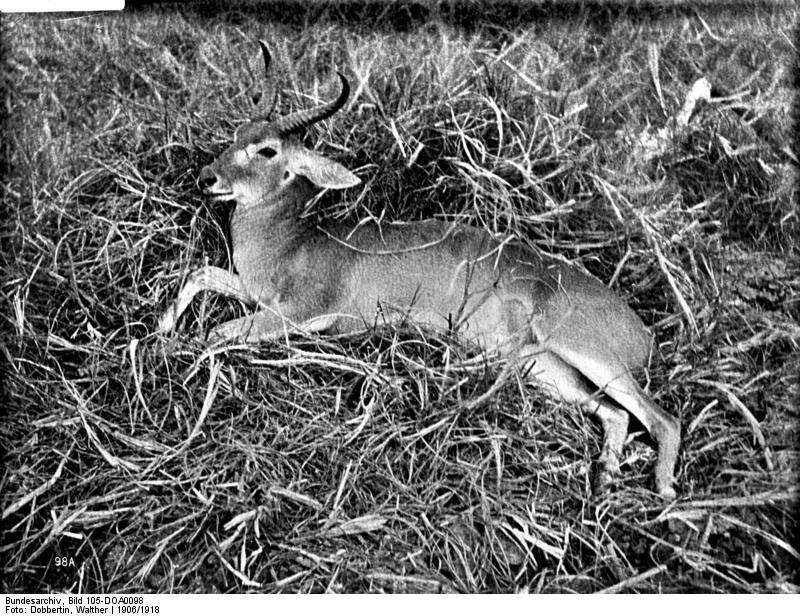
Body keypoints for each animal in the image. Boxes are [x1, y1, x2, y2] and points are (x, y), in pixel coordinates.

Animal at [158, 43, 680, 498]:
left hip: (586, 351)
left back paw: (664, 491)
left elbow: (215, 334)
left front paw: (171, 349)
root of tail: (643, 333)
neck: (292, 242)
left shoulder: (299, 313)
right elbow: (200, 274)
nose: (207, 177)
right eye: (235, 134)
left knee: (660, 417)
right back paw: (605, 476)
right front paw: (161, 328)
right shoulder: (255, 291)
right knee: (615, 415)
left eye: (267, 149)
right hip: (547, 369)